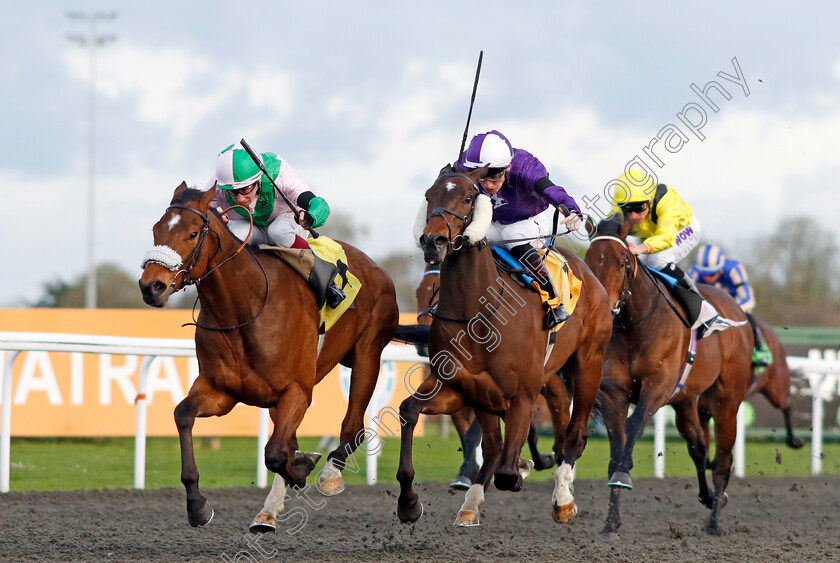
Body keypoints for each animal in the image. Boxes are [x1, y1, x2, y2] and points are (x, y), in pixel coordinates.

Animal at [139, 183, 400, 532]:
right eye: (156, 230)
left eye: (193, 234)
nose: (151, 286)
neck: (245, 307)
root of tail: (377, 267)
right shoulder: (221, 391)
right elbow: (183, 415)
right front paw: (197, 505)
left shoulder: (298, 391)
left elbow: (276, 453)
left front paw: (303, 468)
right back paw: (269, 511)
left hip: (368, 354)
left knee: (352, 425)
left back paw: (330, 475)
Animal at [394, 165, 612, 528]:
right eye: (429, 194)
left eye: (469, 197)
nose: (434, 240)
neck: (476, 311)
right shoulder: (460, 388)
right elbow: (409, 410)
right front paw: (408, 502)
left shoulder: (523, 394)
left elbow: (509, 474)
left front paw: (527, 467)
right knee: (497, 446)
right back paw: (471, 503)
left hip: (589, 364)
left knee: (576, 433)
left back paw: (563, 498)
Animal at [584, 217, 756, 536]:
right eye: (589, 261)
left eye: (623, 263)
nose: (605, 306)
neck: (635, 325)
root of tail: (737, 312)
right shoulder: (614, 394)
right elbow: (617, 444)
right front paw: (611, 521)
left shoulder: (657, 387)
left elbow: (635, 424)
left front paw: (623, 474)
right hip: (685, 403)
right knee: (698, 449)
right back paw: (709, 498)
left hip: (727, 401)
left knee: (723, 460)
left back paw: (714, 523)